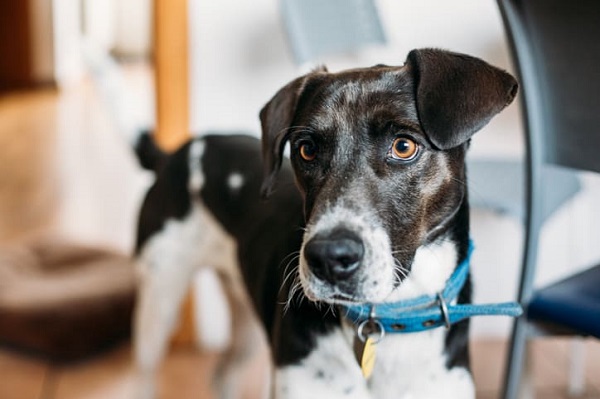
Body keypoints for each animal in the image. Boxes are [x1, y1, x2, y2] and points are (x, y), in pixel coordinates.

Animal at [134, 48, 516, 398]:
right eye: (306, 149)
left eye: (404, 146)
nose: (329, 259)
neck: (388, 317)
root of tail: (177, 153)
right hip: (159, 300)